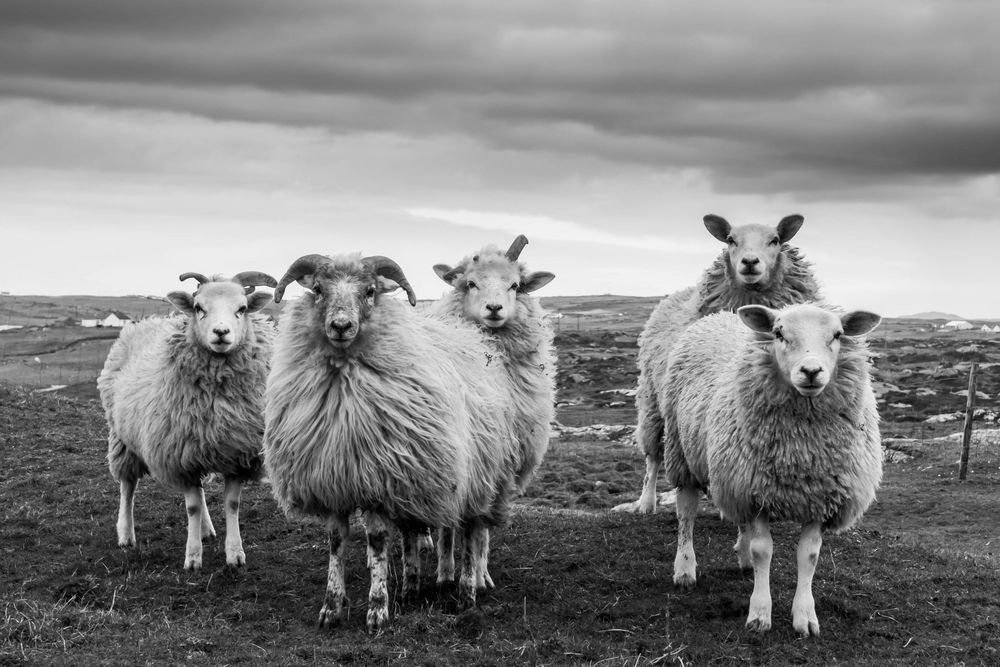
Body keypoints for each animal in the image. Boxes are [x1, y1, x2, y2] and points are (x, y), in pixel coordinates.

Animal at [98, 272, 278, 576]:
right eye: (198, 307)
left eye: (242, 309)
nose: (221, 332)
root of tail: (144, 323)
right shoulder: (179, 457)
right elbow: (191, 508)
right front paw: (193, 557)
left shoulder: (235, 453)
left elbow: (232, 504)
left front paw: (235, 553)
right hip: (122, 437)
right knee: (127, 485)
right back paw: (125, 534)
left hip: (196, 446)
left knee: (200, 489)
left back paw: (206, 529)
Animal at [262, 253, 520, 636]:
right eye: (318, 289)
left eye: (370, 291)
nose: (341, 326)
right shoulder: (335, 480)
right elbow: (335, 542)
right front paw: (331, 608)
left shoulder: (378, 483)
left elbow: (379, 542)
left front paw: (377, 609)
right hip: (419, 480)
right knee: (415, 532)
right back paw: (410, 588)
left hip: (478, 475)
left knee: (471, 532)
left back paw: (466, 592)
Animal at [430, 236, 556, 596]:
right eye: (471, 283)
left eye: (514, 285)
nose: (495, 309)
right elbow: (450, 528)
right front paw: (447, 573)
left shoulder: (501, 464)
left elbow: (481, 530)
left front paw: (480, 575)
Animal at [612, 215, 824, 516]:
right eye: (731, 240)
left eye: (775, 240)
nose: (749, 262)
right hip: (653, 399)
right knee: (653, 454)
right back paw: (646, 501)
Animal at [664, 302, 884, 636]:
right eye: (779, 333)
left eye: (838, 334)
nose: (811, 371)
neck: (800, 452)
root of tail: (721, 315)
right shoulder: (756, 495)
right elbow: (763, 552)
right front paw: (759, 614)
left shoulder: (819, 497)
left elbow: (809, 555)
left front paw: (805, 616)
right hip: (683, 452)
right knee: (686, 513)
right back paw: (685, 569)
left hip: (734, 474)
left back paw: (740, 557)